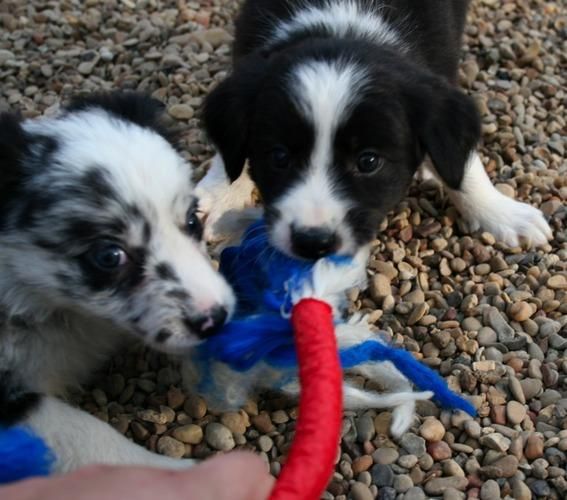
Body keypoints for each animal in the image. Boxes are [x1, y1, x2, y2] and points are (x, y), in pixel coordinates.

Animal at [198, 0, 552, 258]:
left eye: (368, 161)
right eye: (279, 157)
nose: (313, 243)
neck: (342, 27)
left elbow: (461, 161)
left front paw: (500, 212)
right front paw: (220, 193)